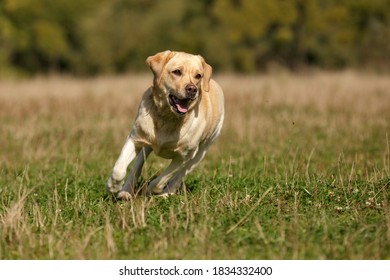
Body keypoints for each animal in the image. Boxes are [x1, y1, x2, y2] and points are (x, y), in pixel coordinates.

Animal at [105, 50, 224, 199]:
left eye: (198, 75)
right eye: (177, 72)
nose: (192, 89)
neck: (168, 117)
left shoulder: (185, 156)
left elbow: (163, 178)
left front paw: (152, 189)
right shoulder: (134, 138)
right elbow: (119, 168)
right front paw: (113, 186)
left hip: (201, 152)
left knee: (180, 175)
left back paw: (166, 193)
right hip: (145, 144)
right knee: (137, 166)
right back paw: (125, 191)